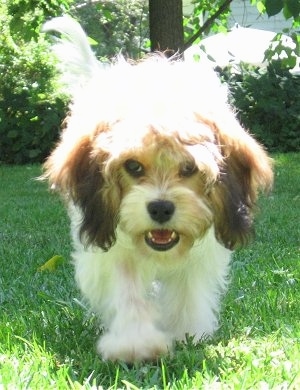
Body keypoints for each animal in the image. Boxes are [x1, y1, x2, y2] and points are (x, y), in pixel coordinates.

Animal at [43, 16, 274, 362]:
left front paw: (187, 334)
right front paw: (135, 343)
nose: (161, 208)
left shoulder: (202, 255)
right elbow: (126, 290)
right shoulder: (111, 248)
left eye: (189, 168)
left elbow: (187, 290)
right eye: (133, 166)